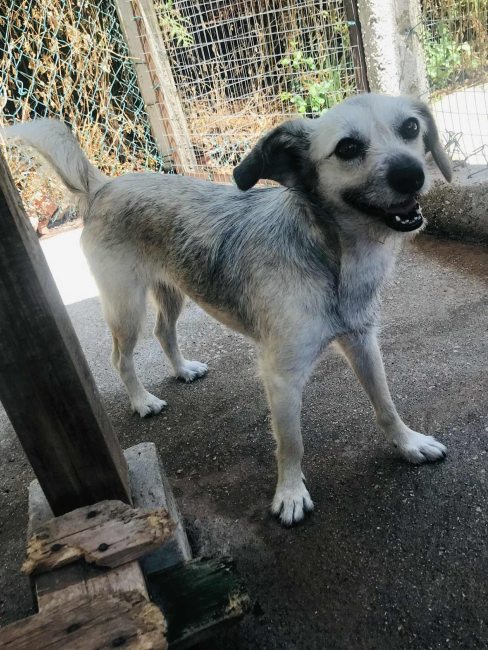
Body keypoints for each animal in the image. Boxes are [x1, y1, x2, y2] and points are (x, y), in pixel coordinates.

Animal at [3, 94, 452, 526]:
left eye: (410, 128)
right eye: (347, 148)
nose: (411, 174)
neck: (333, 255)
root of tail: (104, 185)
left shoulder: (363, 342)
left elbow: (386, 405)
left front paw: (409, 444)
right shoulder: (281, 377)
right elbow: (291, 443)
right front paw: (290, 494)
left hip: (174, 290)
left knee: (163, 332)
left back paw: (182, 370)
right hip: (126, 306)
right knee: (121, 358)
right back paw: (142, 401)